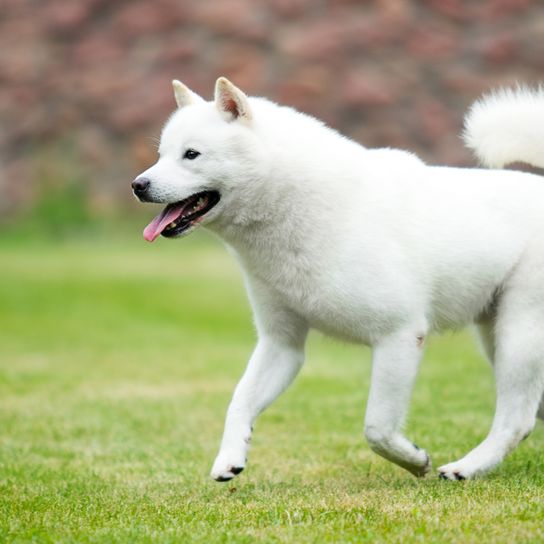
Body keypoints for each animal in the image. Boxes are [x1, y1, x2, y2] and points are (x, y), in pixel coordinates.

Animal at [133, 77, 544, 480]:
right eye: (161, 154)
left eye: (191, 154)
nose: (138, 185)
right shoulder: (281, 344)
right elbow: (240, 401)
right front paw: (230, 457)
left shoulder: (399, 335)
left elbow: (377, 429)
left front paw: (414, 460)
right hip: (497, 340)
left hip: (518, 337)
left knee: (515, 420)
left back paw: (466, 467)